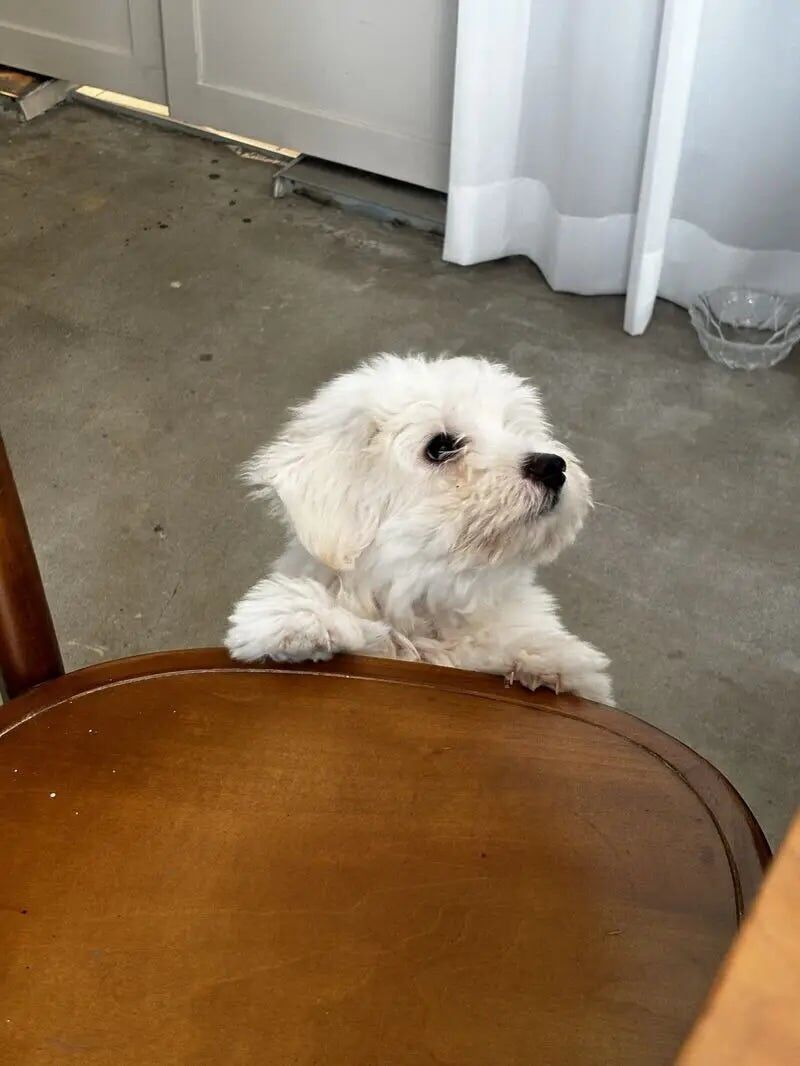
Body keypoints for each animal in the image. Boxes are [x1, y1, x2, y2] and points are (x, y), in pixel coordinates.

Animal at [225, 354, 613, 705]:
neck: (427, 600)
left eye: (515, 427)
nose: (552, 466)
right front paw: (304, 618)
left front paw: (542, 658)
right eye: (440, 447)